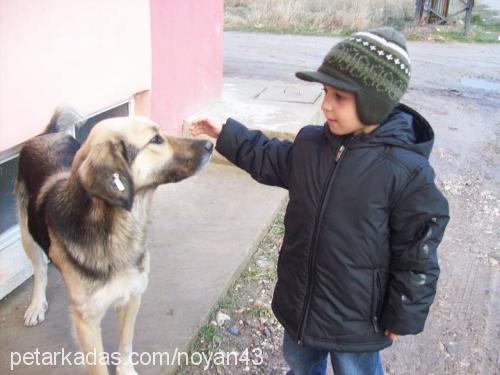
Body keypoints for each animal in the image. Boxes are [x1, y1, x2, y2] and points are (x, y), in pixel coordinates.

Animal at [14, 107, 214, 374]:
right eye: (156, 140)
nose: (210, 143)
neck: (118, 231)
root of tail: (48, 133)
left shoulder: (132, 297)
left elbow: (126, 343)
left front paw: (126, 370)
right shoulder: (86, 322)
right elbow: (99, 366)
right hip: (27, 235)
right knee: (39, 269)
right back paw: (37, 304)